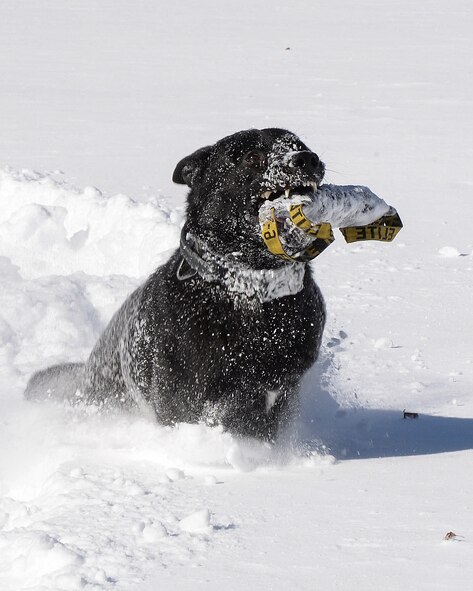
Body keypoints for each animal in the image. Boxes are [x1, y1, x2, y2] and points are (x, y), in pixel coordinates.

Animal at [25, 131, 326, 444]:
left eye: (299, 145)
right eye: (252, 157)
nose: (307, 159)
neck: (247, 287)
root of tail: (85, 372)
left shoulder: (280, 393)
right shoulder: (184, 400)